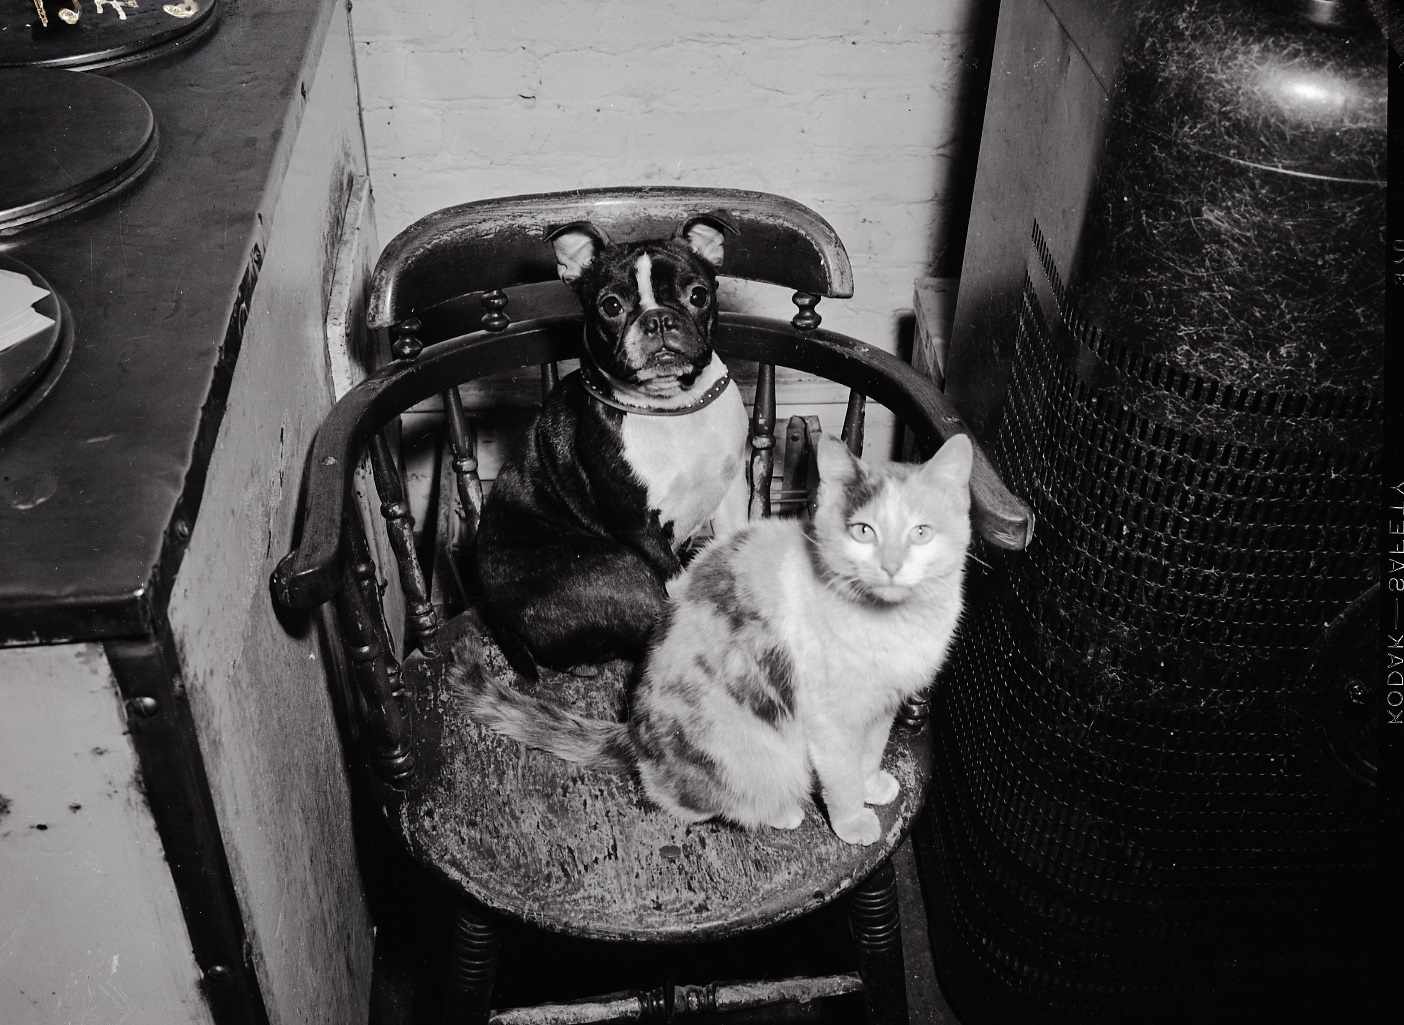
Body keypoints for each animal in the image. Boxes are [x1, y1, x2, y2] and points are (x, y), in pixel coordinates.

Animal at [452, 435, 977, 842]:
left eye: (922, 532)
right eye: (863, 531)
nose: (891, 566)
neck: (892, 624)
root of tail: (633, 736)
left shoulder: (884, 703)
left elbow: (870, 750)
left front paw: (873, 784)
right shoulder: (830, 719)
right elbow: (841, 773)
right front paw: (852, 822)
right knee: (687, 799)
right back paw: (779, 811)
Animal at [477, 212, 752, 665]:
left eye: (698, 295)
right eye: (611, 306)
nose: (658, 319)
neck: (672, 410)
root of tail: (502, 622)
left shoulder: (730, 490)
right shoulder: (638, 524)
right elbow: (676, 579)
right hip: (620, 568)